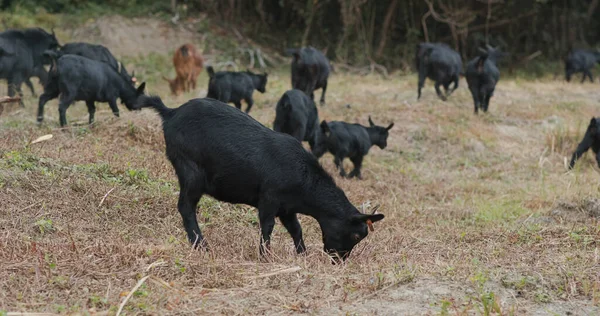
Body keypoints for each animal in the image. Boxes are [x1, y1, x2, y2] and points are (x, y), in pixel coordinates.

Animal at [133, 95, 384, 262]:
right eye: (355, 234)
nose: (339, 260)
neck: (304, 178)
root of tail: (171, 112)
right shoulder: (269, 199)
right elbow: (267, 227)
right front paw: (265, 256)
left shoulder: (287, 208)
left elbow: (296, 229)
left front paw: (302, 254)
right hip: (191, 171)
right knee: (186, 206)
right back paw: (201, 245)